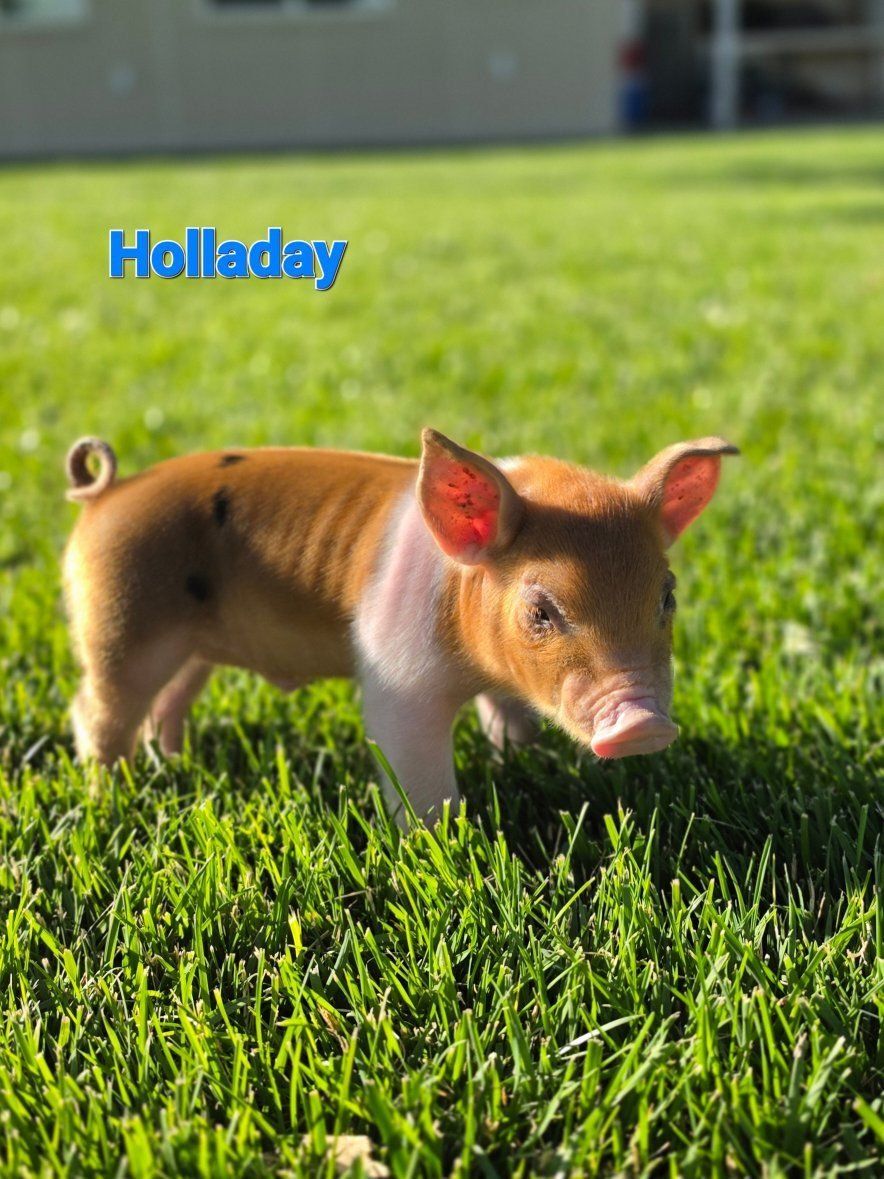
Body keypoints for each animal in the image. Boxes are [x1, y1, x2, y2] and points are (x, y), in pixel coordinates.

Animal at [62, 430, 737, 819]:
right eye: (541, 611)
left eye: (667, 596)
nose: (645, 724)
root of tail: (104, 496)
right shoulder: (396, 673)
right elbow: (413, 763)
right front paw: (443, 842)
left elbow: (509, 721)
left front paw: (513, 760)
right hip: (119, 618)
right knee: (96, 709)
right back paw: (113, 794)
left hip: (191, 645)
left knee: (168, 700)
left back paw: (174, 763)